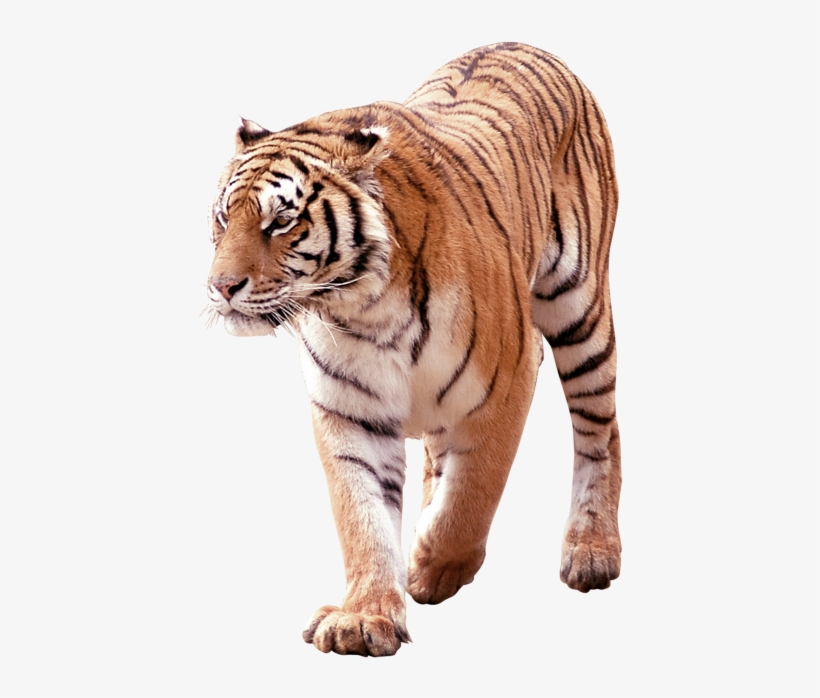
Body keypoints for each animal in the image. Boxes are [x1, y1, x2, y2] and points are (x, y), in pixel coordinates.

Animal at [206, 42, 621, 657]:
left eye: (280, 221)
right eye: (222, 217)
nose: (220, 286)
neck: (362, 307)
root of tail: (525, 43)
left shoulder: (508, 381)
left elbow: (473, 494)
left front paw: (432, 566)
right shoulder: (349, 413)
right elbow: (363, 518)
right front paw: (364, 616)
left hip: (580, 309)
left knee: (600, 431)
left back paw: (592, 551)